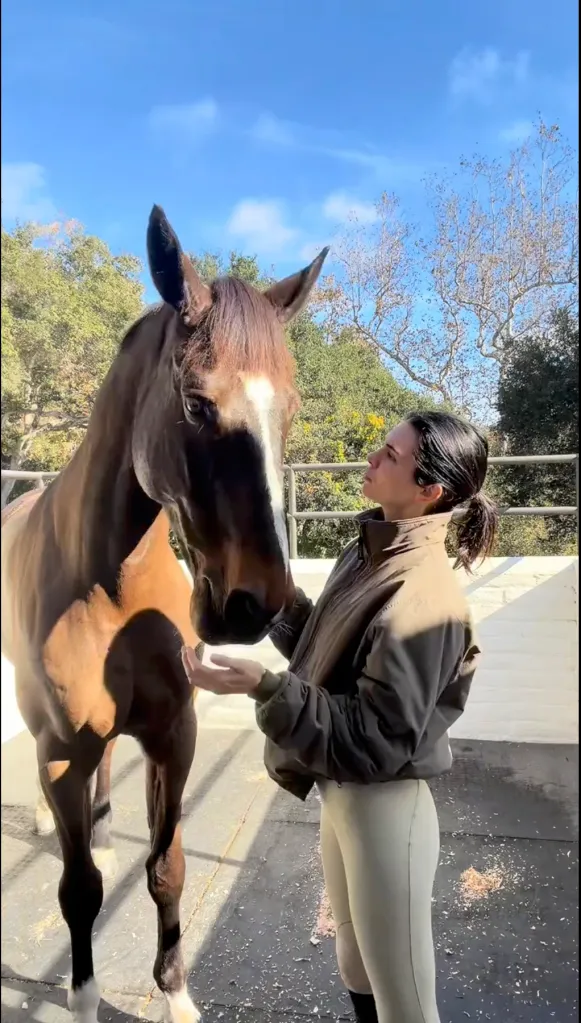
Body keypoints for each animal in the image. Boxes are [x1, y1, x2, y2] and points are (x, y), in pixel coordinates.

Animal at [0, 205, 328, 1023]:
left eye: (289, 409)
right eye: (196, 403)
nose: (254, 602)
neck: (106, 580)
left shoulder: (172, 735)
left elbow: (167, 867)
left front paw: (176, 993)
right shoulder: (60, 749)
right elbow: (78, 892)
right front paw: (84, 996)